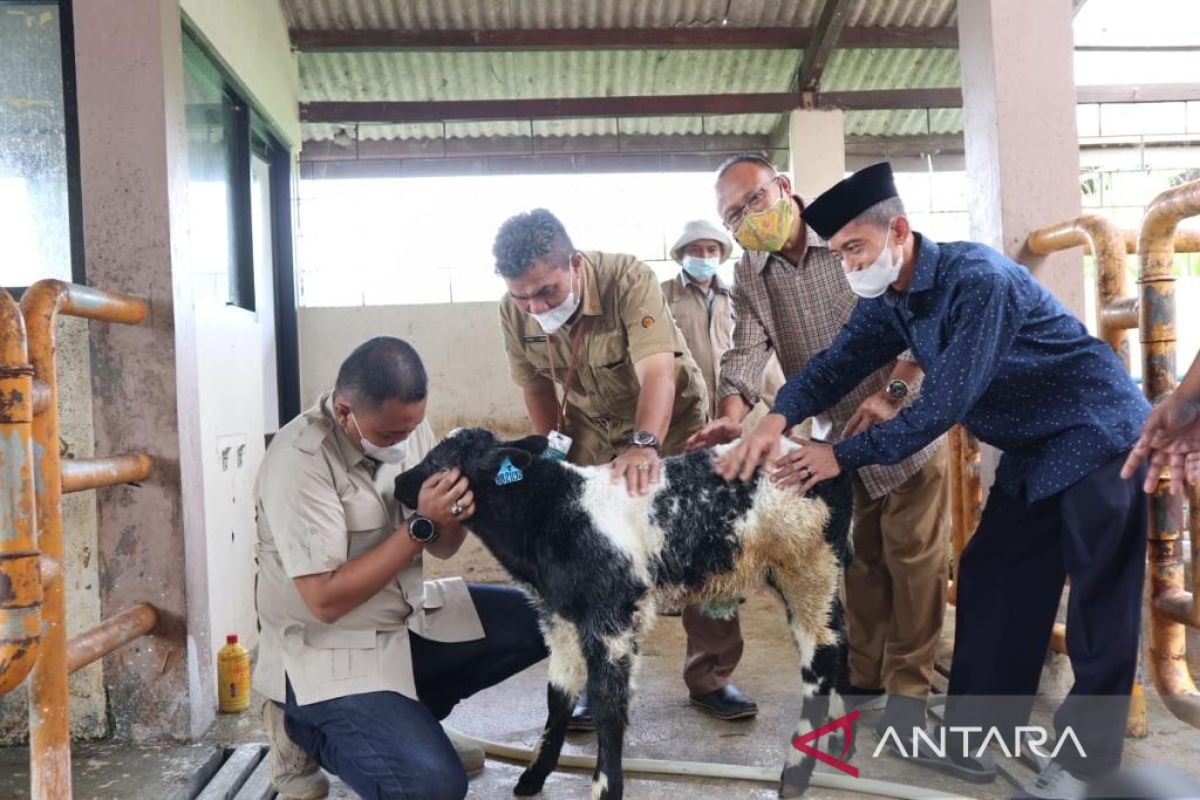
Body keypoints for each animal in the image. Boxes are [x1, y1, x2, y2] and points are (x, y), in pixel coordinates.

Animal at [396, 429, 854, 796]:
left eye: (438, 463)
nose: (399, 481)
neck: (554, 510)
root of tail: (819, 451)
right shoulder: (559, 615)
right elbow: (558, 695)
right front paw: (533, 777)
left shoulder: (610, 612)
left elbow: (607, 702)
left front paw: (604, 787)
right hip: (815, 573)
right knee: (841, 639)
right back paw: (838, 742)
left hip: (806, 567)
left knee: (821, 659)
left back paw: (796, 774)